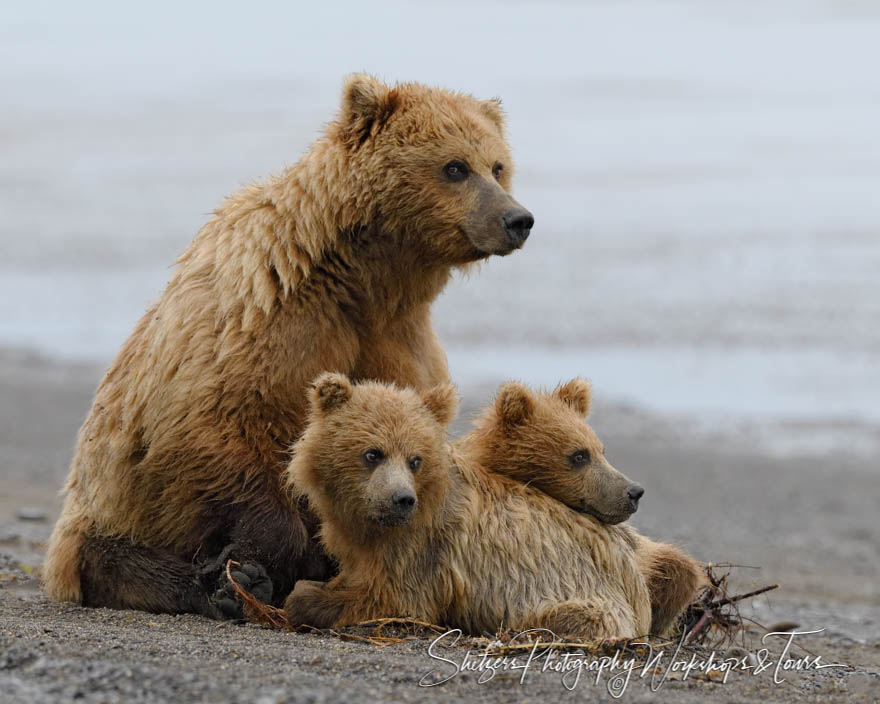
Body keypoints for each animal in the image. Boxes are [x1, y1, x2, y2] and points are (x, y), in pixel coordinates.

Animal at [44, 74, 532, 620]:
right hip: (103, 512)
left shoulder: (397, 339)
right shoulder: (265, 324)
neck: (365, 280)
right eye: (455, 167)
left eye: (498, 166)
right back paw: (219, 585)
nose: (518, 219)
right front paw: (255, 564)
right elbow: (216, 431)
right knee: (116, 557)